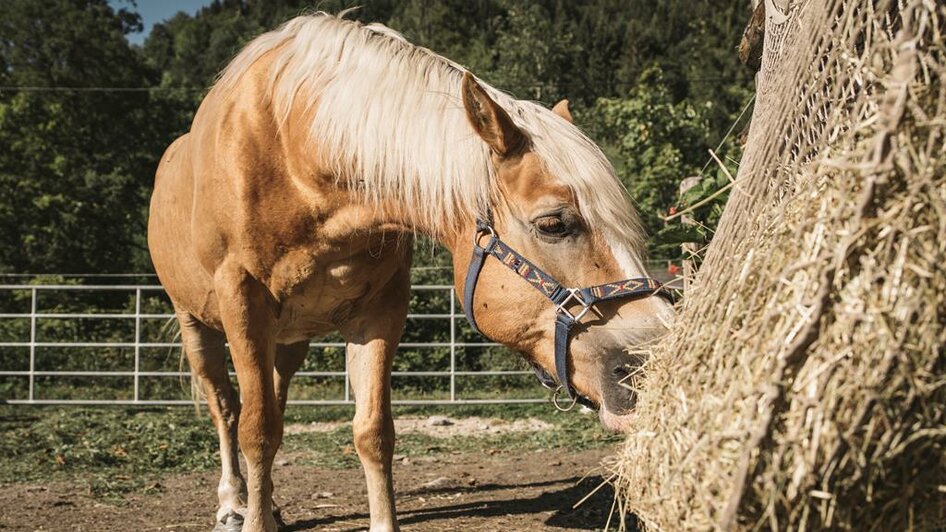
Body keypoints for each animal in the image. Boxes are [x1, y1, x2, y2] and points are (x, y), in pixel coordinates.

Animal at [146, 12, 672, 532]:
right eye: (553, 224)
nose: (652, 362)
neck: (298, 152)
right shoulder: (243, 300)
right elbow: (256, 429)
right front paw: (251, 516)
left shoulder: (379, 310)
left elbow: (372, 431)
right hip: (200, 325)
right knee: (226, 407)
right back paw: (234, 503)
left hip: (289, 338)